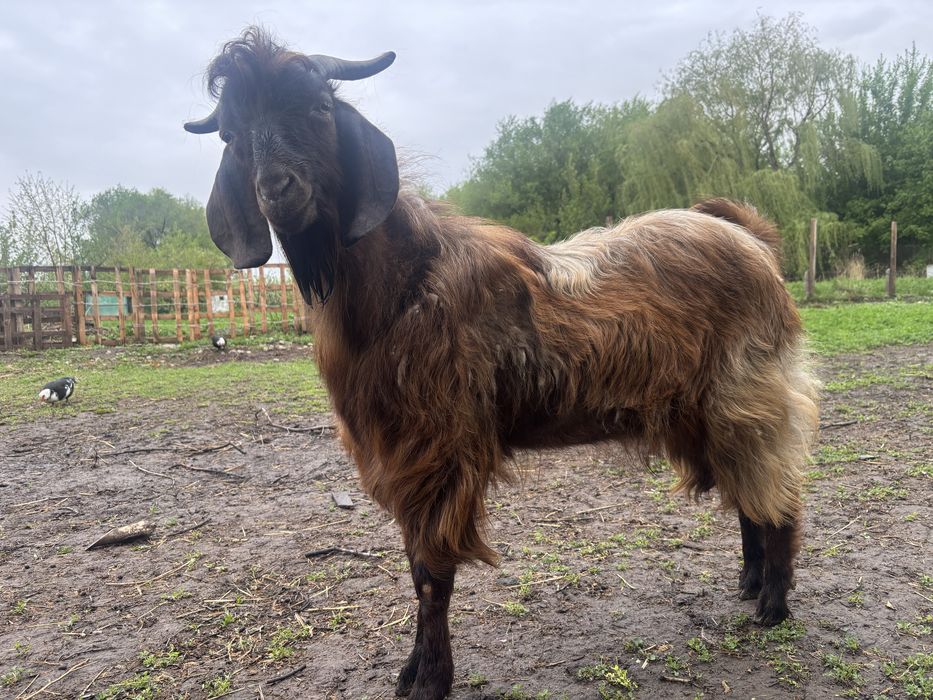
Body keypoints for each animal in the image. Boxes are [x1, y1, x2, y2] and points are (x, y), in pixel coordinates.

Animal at [185, 28, 819, 700]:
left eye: (318, 107)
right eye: (231, 134)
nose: (277, 188)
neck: (403, 286)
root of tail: (752, 241)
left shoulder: (438, 447)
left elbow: (431, 574)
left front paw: (431, 680)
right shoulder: (398, 450)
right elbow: (415, 565)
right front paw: (412, 672)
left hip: (748, 394)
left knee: (778, 496)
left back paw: (773, 607)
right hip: (705, 410)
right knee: (750, 495)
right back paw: (750, 586)